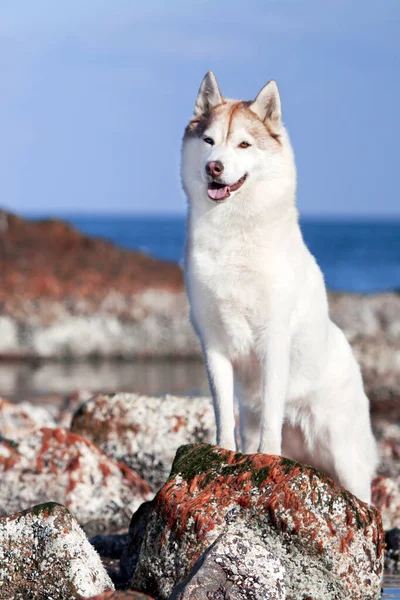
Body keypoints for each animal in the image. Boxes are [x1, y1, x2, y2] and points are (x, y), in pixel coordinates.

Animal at [181, 71, 378, 502]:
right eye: (209, 141)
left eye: (243, 144)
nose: (214, 167)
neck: (233, 234)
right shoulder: (213, 344)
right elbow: (222, 410)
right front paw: (223, 450)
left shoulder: (272, 339)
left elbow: (272, 411)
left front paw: (267, 454)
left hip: (347, 461)